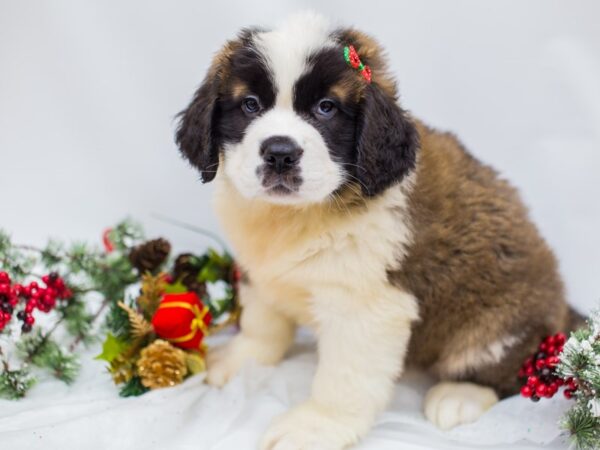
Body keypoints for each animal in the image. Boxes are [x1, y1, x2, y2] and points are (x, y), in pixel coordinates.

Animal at [175, 12, 580, 450]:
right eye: (250, 105)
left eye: (326, 108)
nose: (280, 154)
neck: (301, 214)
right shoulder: (259, 267)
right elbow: (262, 319)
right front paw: (244, 356)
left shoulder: (365, 308)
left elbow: (343, 378)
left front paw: (315, 426)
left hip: (496, 325)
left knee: (510, 370)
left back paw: (461, 394)